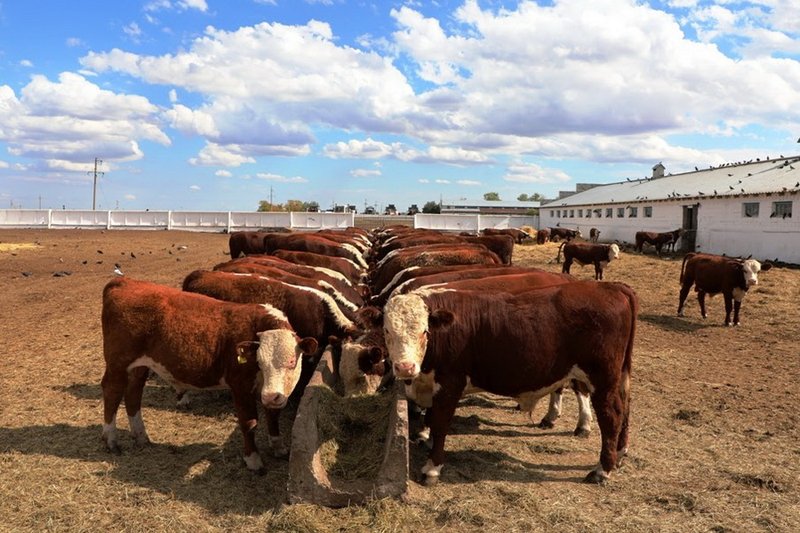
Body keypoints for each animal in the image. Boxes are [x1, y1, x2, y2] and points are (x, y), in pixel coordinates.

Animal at [102, 276, 318, 472]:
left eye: (291, 362)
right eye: (259, 362)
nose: (270, 396)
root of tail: (124, 281)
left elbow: (273, 415)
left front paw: (278, 447)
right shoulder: (240, 386)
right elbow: (249, 423)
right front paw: (253, 460)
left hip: (139, 367)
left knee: (133, 393)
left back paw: (141, 436)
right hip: (118, 364)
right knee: (112, 392)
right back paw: (111, 440)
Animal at [382, 282, 636, 486]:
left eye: (424, 331)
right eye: (387, 331)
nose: (405, 367)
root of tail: (610, 286)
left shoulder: (449, 385)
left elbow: (440, 424)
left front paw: (432, 468)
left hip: (602, 380)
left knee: (611, 416)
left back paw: (602, 470)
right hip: (618, 377)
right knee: (625, 408)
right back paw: (619, 453)